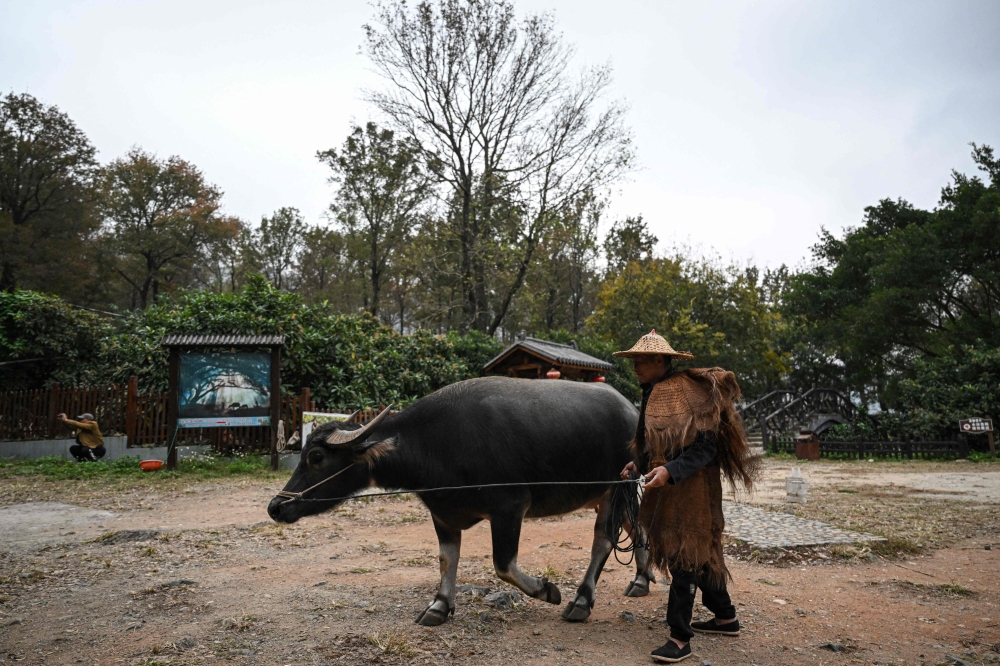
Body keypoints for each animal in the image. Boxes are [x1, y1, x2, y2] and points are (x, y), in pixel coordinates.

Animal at [268, 378, 656, 624]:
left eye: (316, 457)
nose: (276, 507)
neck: (433, 443)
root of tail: (632, 413)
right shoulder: (443, 514)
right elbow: (446, 559)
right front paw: (439, 606)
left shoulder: (509, 507)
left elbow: (503, 565)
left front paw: (547, 590)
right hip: (611, 495)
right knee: (638, 530)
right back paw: (641, 580)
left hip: (618, 488)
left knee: (603, 541)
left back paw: (581, 601)